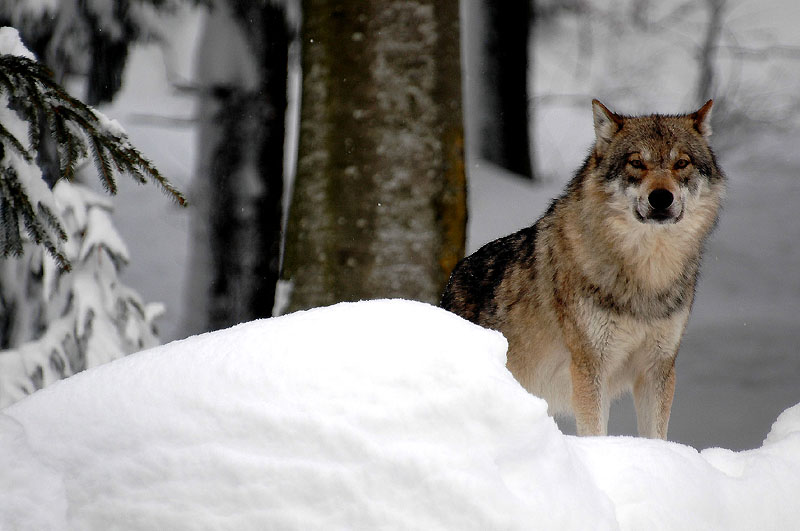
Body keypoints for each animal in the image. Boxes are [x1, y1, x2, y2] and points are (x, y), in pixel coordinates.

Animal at [441, 100, 725, 438]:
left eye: (681, 163)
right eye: (636, 163)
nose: (661, 197)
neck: (647, 273)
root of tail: (452, 280)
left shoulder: (658, 369)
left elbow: (656, 436)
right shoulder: (590, 367)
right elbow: (594, 430)